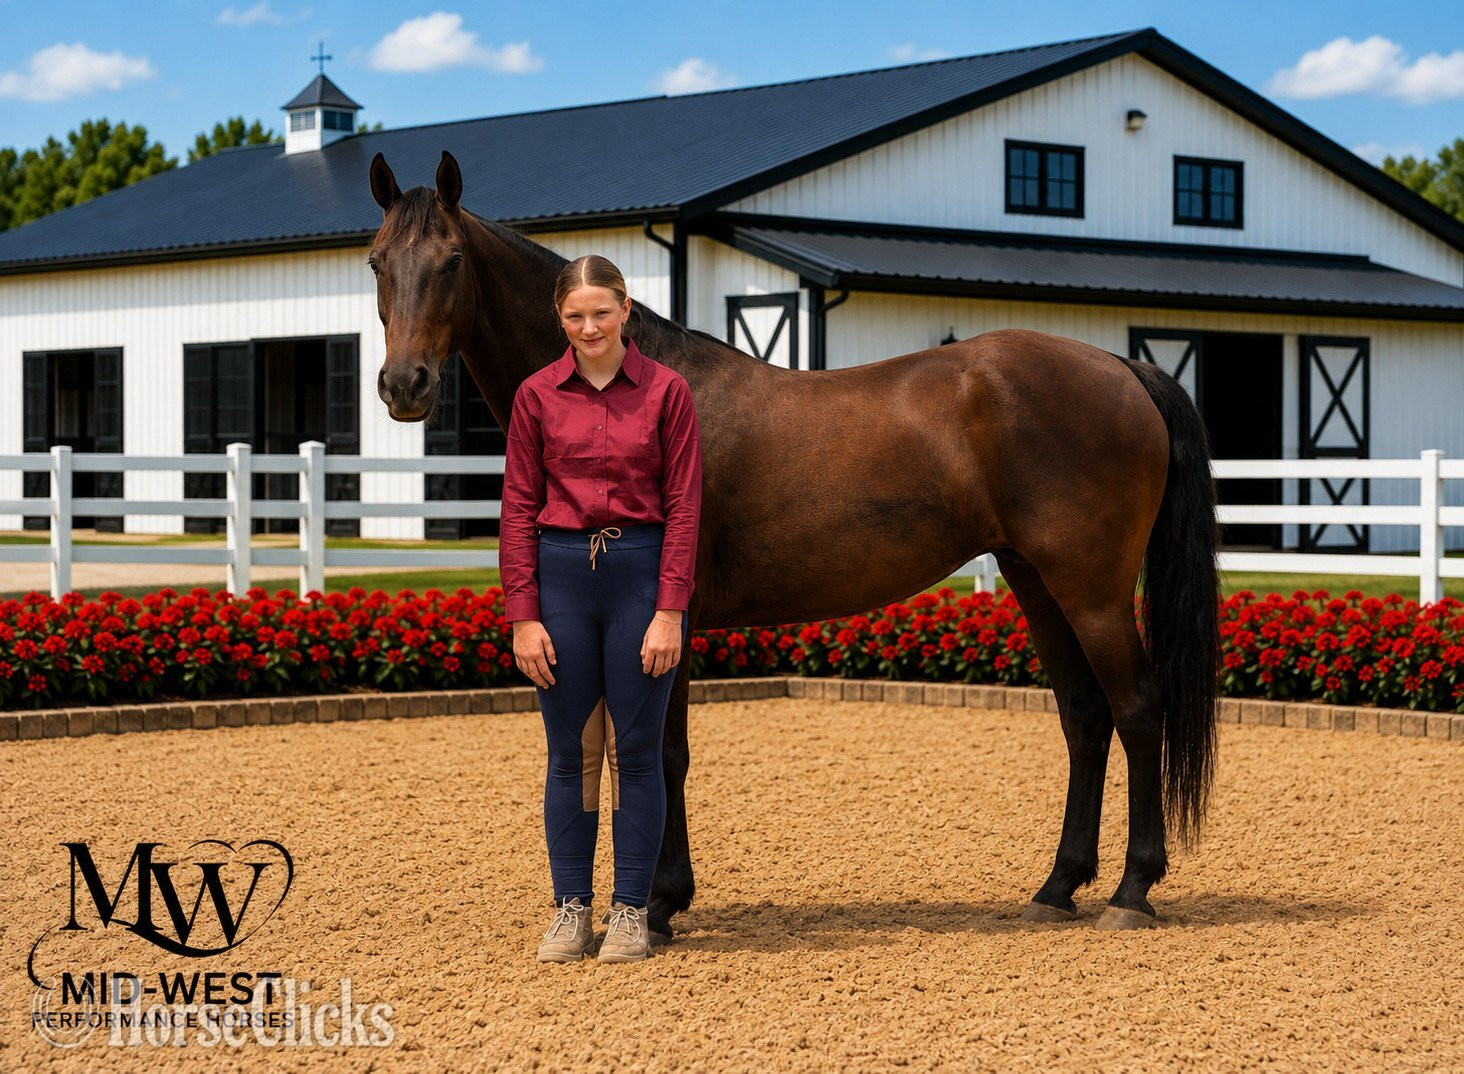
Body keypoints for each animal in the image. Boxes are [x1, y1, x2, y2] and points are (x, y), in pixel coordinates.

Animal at [367, 150, 1220, 935]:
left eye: (451, 260)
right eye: (378, 260)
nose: (404, 386)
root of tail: (1122, 367)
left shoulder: (667, 621)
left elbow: (663, 752)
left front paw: (663, 905)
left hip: (1092, 587)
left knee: (1137, 708)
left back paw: (1131, 891)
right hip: (1035, 579)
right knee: (1085, 717)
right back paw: (1057, 887)